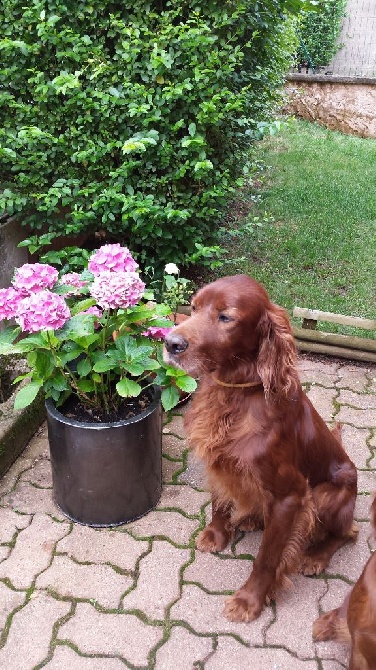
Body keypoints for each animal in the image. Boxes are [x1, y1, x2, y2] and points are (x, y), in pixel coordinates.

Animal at [164, 274, 358, 624]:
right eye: (194, 307)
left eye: (225, 317)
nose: (170, 343)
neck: (236, 394)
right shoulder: (219, 460)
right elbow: (219, 500)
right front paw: (216, 534)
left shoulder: (290, 496)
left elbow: (267, 558)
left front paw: (249, 601)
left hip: (328, 495)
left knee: (348, 532)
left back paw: (315, 557)